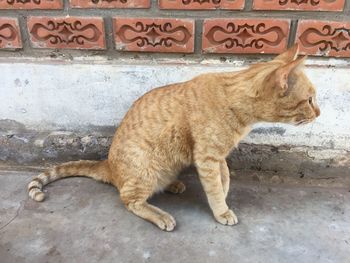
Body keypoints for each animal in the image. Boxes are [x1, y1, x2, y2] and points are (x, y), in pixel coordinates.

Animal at [28, 44, 320, 232]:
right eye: (309, 99)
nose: (319, 112)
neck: (236, 103)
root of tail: (108, 165)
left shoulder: (218, 156)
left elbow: (225, 177)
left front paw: (225, 193)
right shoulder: (206, 157)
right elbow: (214, 189)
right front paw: (222, 210)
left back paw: (173, 185)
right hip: (144, 171)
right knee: (129, 200)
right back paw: (161, 216)